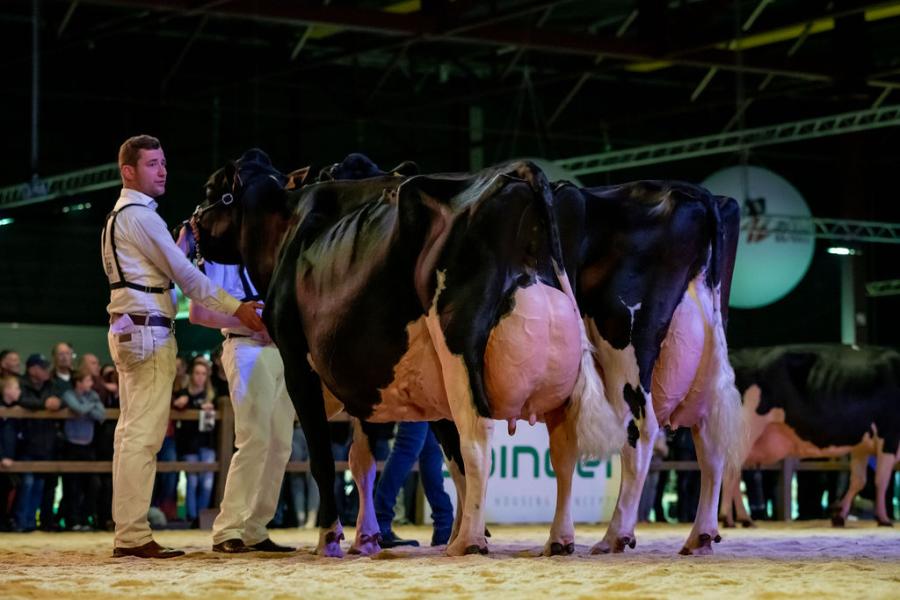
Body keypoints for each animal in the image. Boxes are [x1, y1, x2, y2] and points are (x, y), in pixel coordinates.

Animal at [192, 151, 624, 556]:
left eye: (213, 190)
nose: (188, 224)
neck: (286, 227)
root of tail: (520, 171)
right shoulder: (365, 381)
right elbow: (365, 461)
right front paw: (366, 538)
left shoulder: (298, 361)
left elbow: (323, 458)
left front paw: (330, 538)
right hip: (558, 377)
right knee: (563, 448)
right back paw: (558, 539)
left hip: (457, 347)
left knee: (477, 439)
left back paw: (468, 541)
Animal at [556, 180, 744, 556]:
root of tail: (694, 193)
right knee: (710, 436)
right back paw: (700, 536)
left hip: (624, 341)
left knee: (640, 429)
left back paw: (614, 536)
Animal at [720, 344, 900, 528]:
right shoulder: (889, 435)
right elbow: (881, 480)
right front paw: (883, 519)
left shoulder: (862, 445)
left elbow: (858, 480)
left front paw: (839, 515)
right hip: (745, 429)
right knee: (729, 473)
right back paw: (727, 517)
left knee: (735, 474)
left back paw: (744, 519)